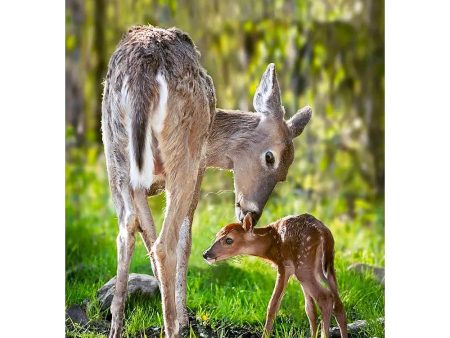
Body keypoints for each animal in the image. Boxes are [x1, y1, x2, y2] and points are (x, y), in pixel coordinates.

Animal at [102, 25, 312, 336]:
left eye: (284, 174)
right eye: (271, 158)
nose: (252, 214)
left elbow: (145, 232)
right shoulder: (200, 167)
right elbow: (185, 239)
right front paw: (182, 318)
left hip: (115, 154)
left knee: (126, 232)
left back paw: (117, 325)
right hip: (183, 155)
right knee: (165, 243)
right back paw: (172, 328)